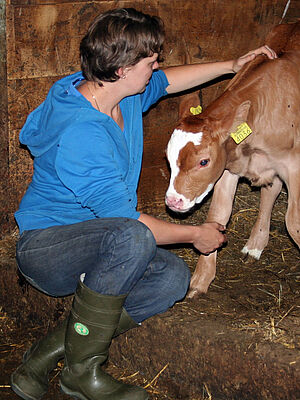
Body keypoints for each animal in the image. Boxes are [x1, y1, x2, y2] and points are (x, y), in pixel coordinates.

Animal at [165, 21, 298, 296]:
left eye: (203, 162)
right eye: (168, 159)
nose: (173, 201)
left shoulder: (294, 165)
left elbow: (293, 222)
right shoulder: (230, 165)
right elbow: (219, 213)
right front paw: (201, 280)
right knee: (271, 190)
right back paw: (255, 244)